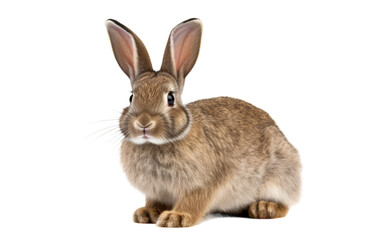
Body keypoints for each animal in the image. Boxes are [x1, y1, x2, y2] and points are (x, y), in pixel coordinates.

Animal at [105, 17, 302, 228]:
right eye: (131, 97)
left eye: (170, 98)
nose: (143, 123)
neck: (155, 144)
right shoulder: (157, 191)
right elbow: (154, 201)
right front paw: (147, 213)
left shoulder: (205, 183)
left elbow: (194, 201)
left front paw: (175, 217)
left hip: (280, 176)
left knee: (284, 203)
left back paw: (263, 207)